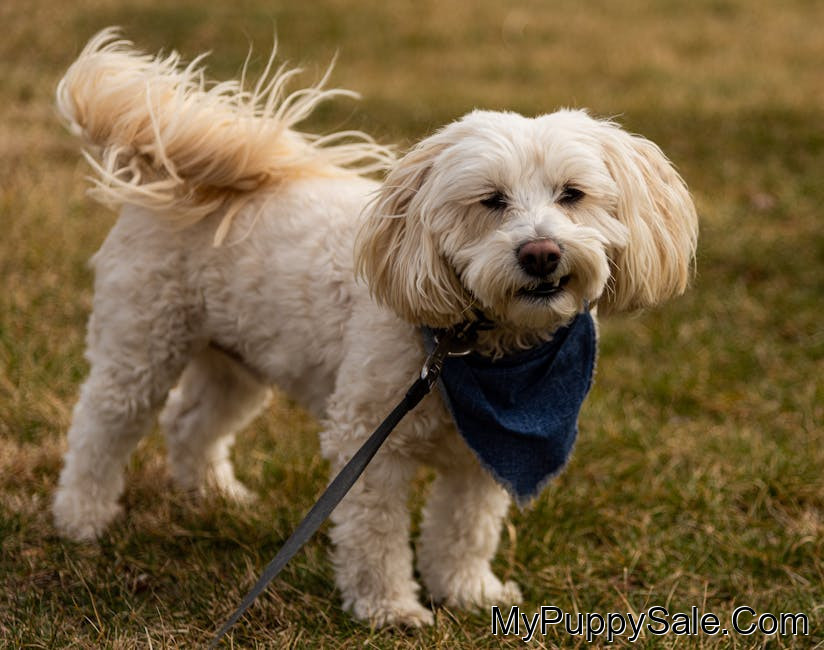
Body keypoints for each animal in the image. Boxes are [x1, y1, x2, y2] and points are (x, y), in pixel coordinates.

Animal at [53, 29, 697, 627]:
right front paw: (389, 608)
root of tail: (179, 178)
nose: (541, 253)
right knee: (101, 428)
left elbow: (465, 529)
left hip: (238, 360)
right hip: (142, 342)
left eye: (573, 194)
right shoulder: (369, 442)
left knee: (191, 422)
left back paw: (214, 496)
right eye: (491, 200)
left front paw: (467, 592)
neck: (471, 350)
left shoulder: (484, 456)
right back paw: (81, 518)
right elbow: (375, 537)